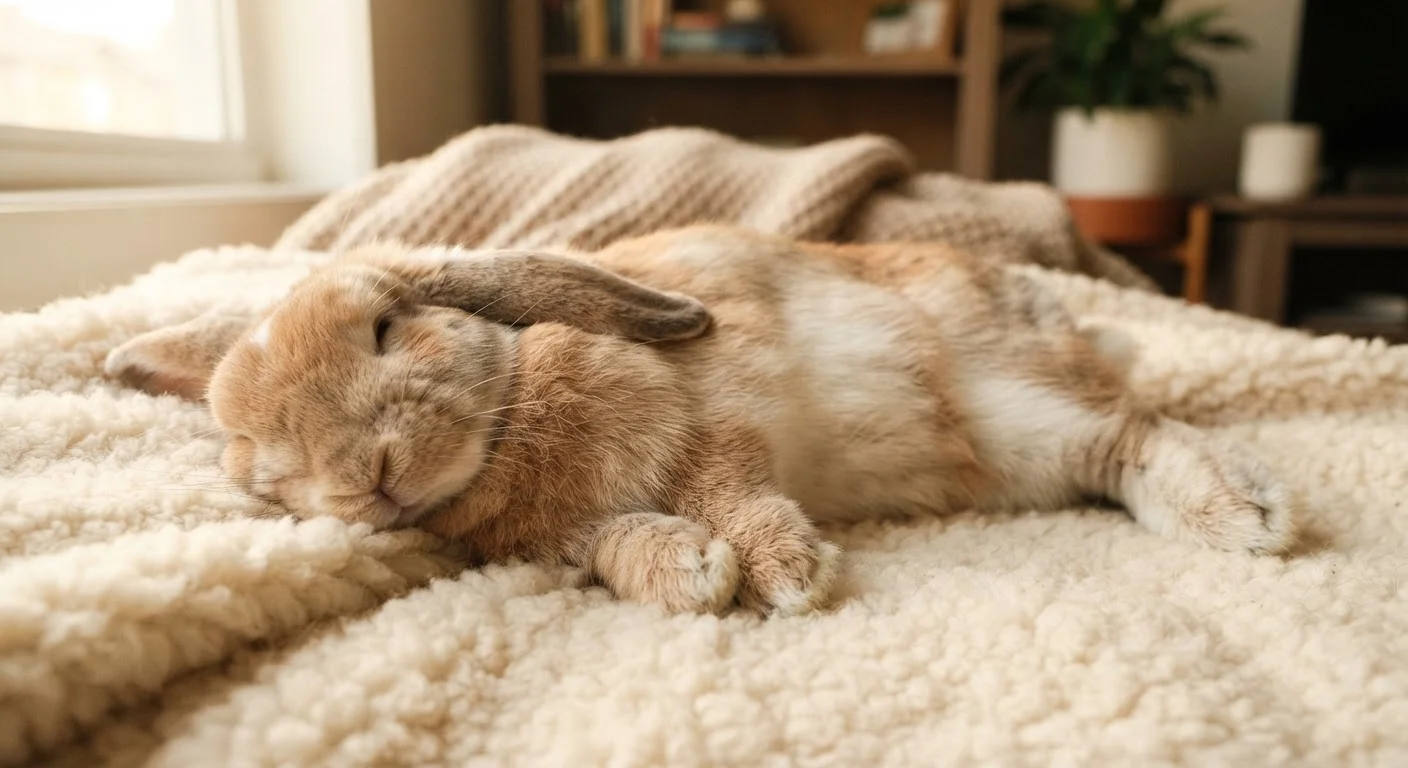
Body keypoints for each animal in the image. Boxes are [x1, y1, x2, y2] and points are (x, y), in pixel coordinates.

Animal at [105, 225, 1297, 616]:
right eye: (267, 472)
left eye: (389, 329)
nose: (370, 478)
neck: (506, 426)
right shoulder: (569, 541)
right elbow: (619, 546)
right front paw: (688, 575)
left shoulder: (717, 425)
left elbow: (735, 488)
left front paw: (782, 574)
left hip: (1018, 402)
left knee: (1142, 435)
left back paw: (1247, 516)